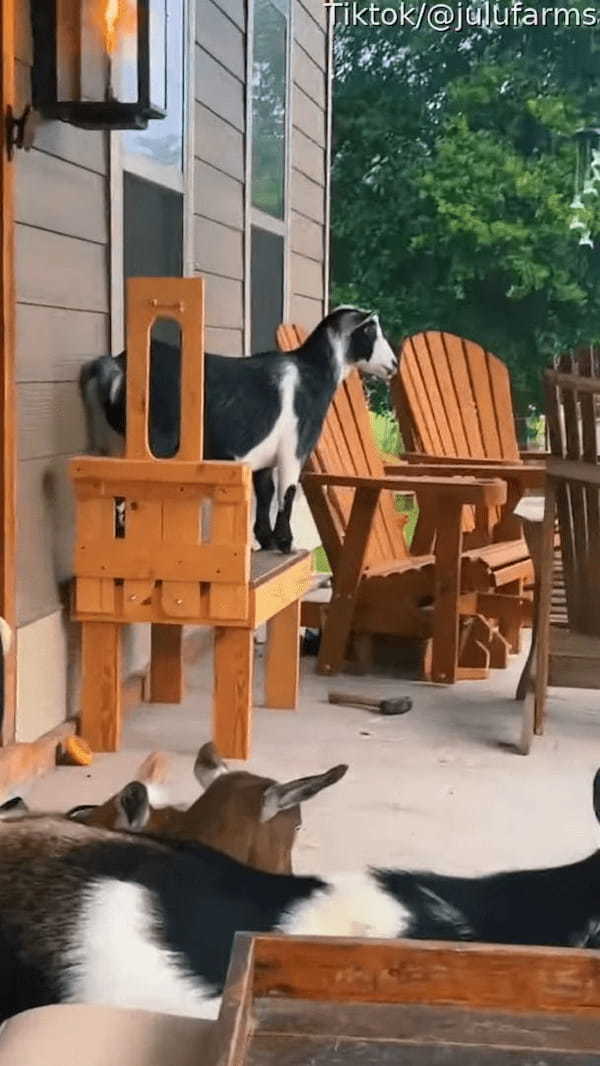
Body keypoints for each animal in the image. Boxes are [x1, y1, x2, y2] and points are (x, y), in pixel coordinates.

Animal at [79, 300, 398, 550]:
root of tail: (116, 367)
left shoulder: (265, 455)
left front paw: (265, 539)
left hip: (115, 445)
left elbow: (265, 491)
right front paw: (285, 542)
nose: (394, 365)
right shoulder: (295, 448)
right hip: (153, 446)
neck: (312, 374)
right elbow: (287, 492)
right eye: (370, 329)